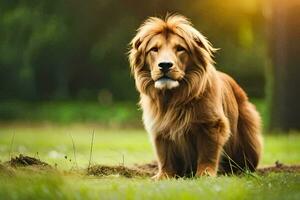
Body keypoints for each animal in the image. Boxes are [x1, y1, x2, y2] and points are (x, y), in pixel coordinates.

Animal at [129, 14, 262, 180]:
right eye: (154, 50)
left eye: (180, 49)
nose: (165, 65)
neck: (172, 98)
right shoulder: (160, 128)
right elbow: (165, 156)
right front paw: (164, 175)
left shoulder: (211, 124)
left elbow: (208, 153)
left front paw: (205, 173)